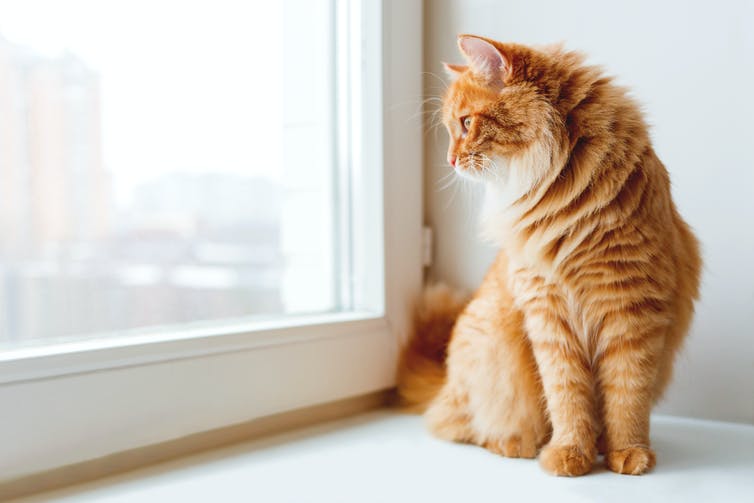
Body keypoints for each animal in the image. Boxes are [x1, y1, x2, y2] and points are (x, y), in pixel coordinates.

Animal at [400, 35, 700, 476]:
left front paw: (628, 452)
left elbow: (626, 397)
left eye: (467, 124)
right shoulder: (549, 316)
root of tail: (445, 384)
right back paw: (515, 444)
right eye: (452, 129)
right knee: (458, 425)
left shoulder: (631, 312)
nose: (451, 161)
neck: (565, 200)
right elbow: (568, 398)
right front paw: (569, 454)